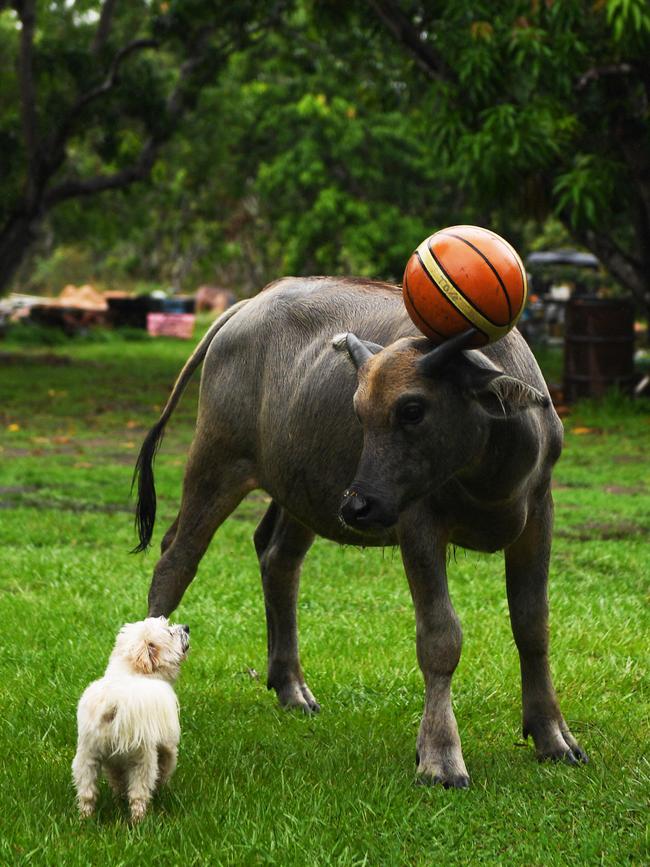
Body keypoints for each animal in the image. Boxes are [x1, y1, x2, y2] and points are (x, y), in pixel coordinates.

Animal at [74, 616, 190, 820]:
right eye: (170, 632)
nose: (186, 627)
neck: (131, 669)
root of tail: (114, 702)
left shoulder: (113, 763)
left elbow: (117, 780)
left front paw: (118, 796)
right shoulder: (167, 745)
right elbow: (167, 766)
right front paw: (163, 787)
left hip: (87, 755)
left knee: (87, 793)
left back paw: (85, 819)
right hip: (142, 758)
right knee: (138, 794)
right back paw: (140, 820)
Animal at [134, 276, 584, 788]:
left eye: (412, 409)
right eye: (359, 411)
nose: (358, 505)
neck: (490, 465)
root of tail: (249, 305)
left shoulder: (539, 512)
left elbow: (533, 624)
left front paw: (553, 736)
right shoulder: (417, 523)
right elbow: (440, 637)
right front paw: (441, 757)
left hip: (301, 489)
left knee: (277, 558)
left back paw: (291, 686)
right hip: (216, 459)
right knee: (175, 560)